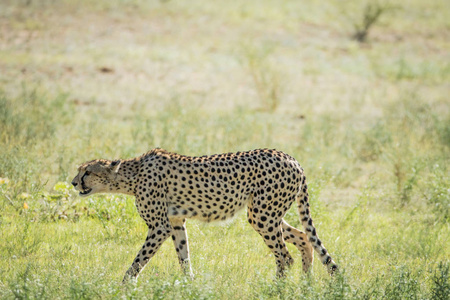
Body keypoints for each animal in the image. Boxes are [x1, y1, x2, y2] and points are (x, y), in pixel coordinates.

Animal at [71, 148, 338, 282]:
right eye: (79, 171)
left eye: (87, 172)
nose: (73, 183)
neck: (132, 175)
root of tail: (292, 159)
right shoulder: (175, 222)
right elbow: (183, 255)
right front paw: (189, 284)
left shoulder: (160, 226)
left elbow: (139, 260)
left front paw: (125, 285)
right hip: (266, 214)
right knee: (304, 239)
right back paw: (305, 285)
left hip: (263, 216)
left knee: (285, 257)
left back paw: (277, 290)